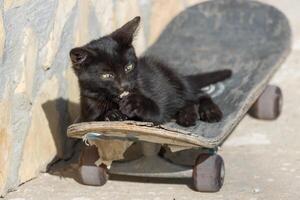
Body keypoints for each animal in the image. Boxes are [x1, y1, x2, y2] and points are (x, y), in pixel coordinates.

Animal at [69, 16, 231, 126]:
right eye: (107, 75)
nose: (125, 86)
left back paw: (208, 112)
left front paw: (135, 103)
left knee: (198, 95)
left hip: (175, 80)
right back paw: (187, 115)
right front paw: (112, 115)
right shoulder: (86, 114)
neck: (113, 101)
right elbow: (94, 119)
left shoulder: (156, 107)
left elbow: (157, 112)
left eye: (128, 67)